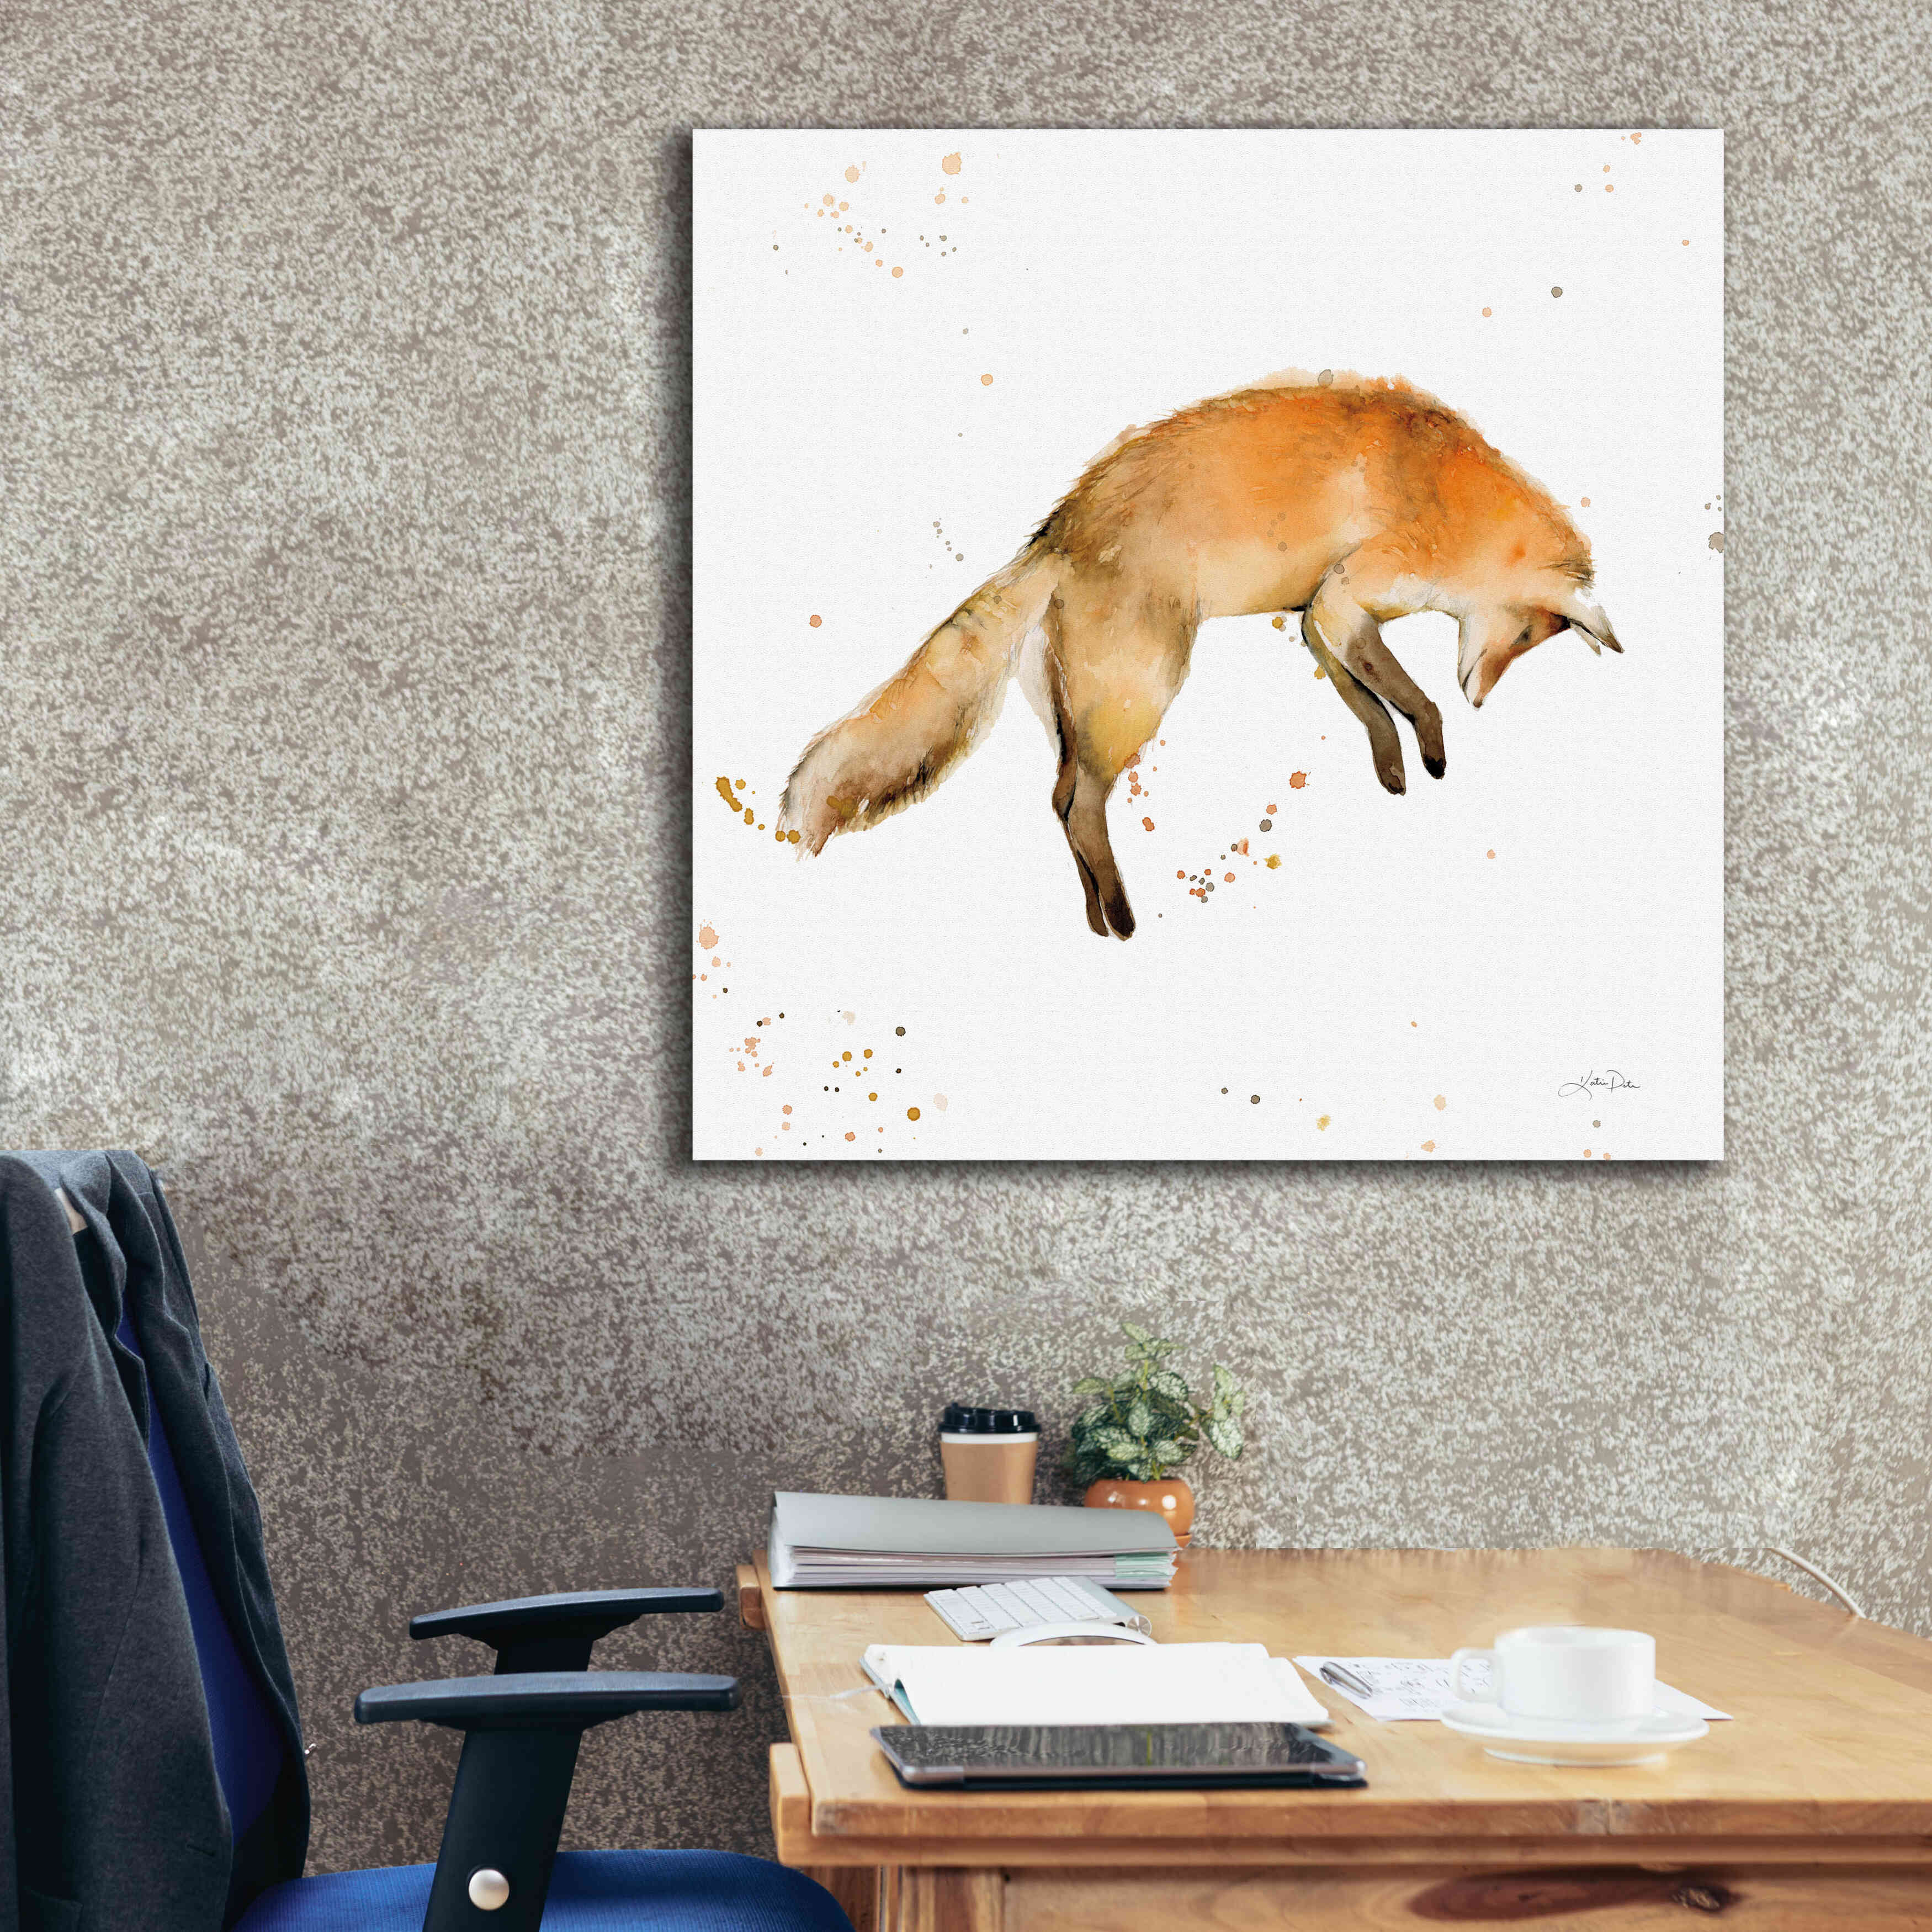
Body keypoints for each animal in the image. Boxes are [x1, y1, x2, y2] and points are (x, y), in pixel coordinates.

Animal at [780, 371, 1619, 940]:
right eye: (1524, 635)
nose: (1482, 695)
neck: (1453, 498)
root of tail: (1057, 533)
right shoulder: (1344, 599)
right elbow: (1412, 697)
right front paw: (1434, 744)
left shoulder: (1320, 620)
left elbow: (1370, 705)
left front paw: (1394, 767)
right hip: (1141, 692)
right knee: (1081, 805)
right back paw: (1123, 917)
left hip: (1085, 711)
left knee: (1059, 801)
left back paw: (1095, 915)